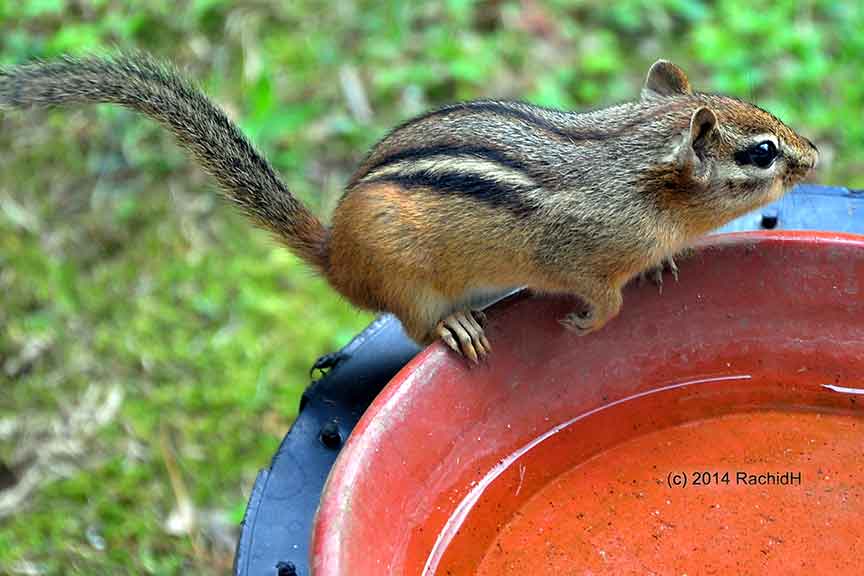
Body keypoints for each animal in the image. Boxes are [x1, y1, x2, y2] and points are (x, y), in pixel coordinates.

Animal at [0, 54, 818, 363]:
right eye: (762, 153)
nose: (816, 154)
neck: (632, 172)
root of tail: (336, 254)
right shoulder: (576, 252)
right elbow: (601, 297)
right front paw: (589, 323)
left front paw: (666, 264)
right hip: (407, 279)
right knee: (416, 328)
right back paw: (457, 327)